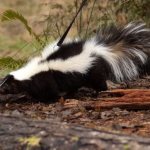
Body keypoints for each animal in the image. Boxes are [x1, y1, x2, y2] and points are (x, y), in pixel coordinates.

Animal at [0, 22, 150, 102]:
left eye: (5, 86)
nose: (0, 90)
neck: (32, 73)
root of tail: (96, 49)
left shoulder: (46, 80)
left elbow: (49, 91)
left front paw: (48, 100)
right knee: (74, 86)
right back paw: (70, 94)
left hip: (92, 71)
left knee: (99, 83)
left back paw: (99, 93)